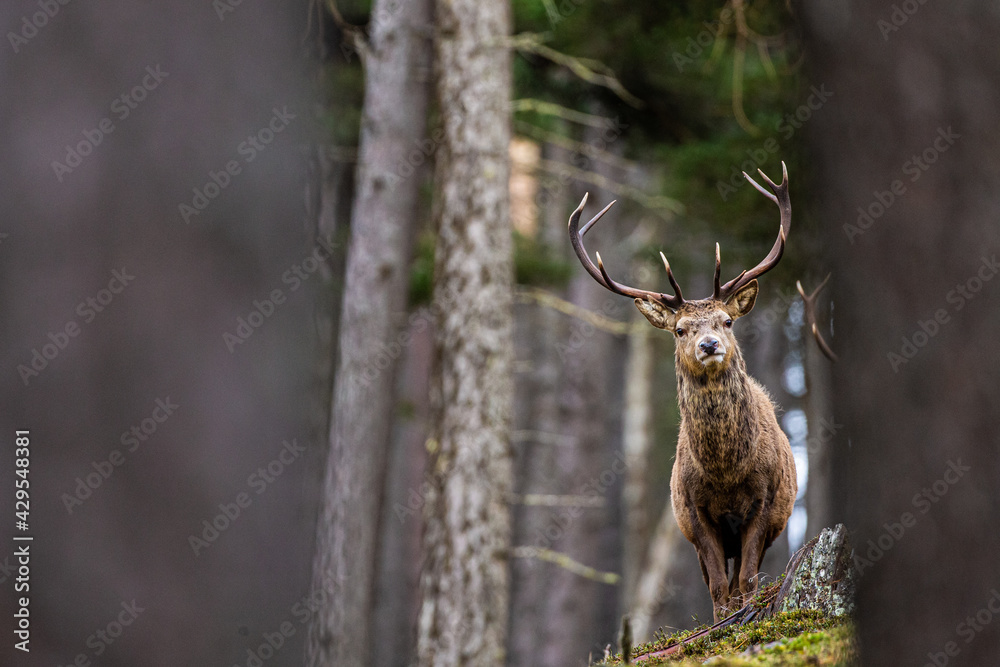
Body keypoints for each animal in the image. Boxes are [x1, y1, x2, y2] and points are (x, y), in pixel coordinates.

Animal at [568, 163, 797, 622]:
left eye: (727, 320)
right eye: (679, 329)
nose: (709, 345)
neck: (726, 471)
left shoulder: (764, 502)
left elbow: (746, 579)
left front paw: (743, 618)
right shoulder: (692, 511)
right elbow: (718, 586)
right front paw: (722, 623)